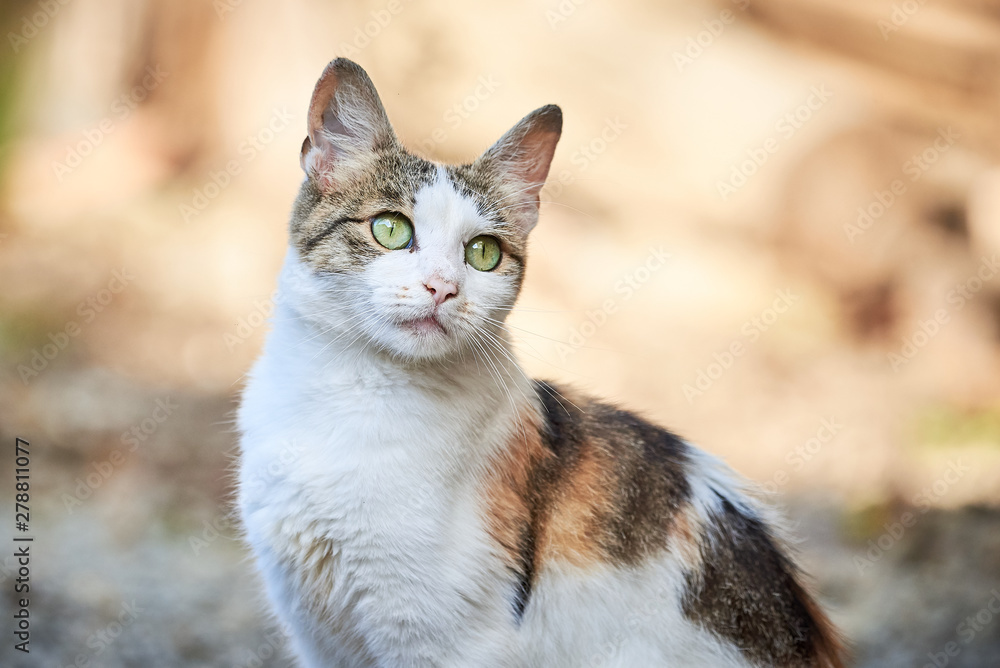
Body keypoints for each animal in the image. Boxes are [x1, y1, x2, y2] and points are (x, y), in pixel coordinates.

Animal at [238, 58, 848, 668]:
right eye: (390, 229)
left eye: (483, 253)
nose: (443, 288)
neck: (354, 390)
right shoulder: (319, 636)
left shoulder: (445, 643)